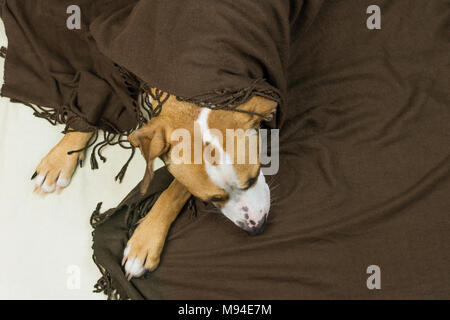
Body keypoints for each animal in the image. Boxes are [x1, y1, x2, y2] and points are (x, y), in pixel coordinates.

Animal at [31, 89, 276, 278]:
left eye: (254, 177)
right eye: (211, 199)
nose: (257, 227)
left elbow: (174, 190)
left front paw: (145, 242)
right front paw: (61, 156)